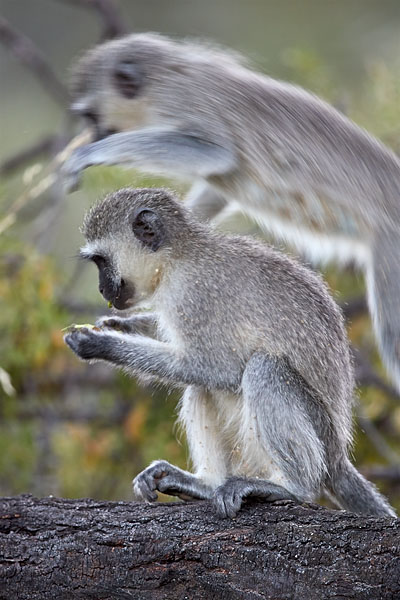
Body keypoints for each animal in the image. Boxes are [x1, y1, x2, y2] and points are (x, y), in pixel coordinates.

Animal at [63, 32, 400, 394]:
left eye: (92, 117)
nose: (96, 134)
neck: (165, 75)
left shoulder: (182, 101)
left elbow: (213, 152)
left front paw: (88, 154)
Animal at [64, 189, 396, 520]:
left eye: (101, 260)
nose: (102, 289)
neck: (175, 259)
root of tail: (338, 456)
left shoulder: (193, 296)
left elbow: (217, 367)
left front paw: (101, 344)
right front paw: (119, 325)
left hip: (319, 434)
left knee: (263, 368)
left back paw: (292, 487)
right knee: (200, 387)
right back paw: (206, 484)